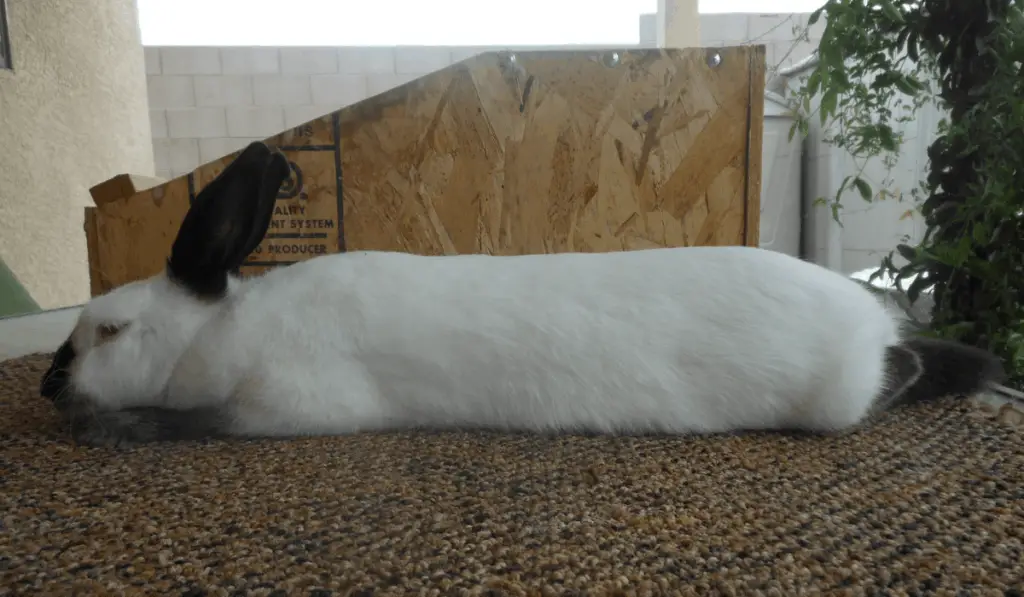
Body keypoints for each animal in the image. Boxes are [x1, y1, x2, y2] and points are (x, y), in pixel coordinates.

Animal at [41, 141, 1007, 448]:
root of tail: (870, 322)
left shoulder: (286, 404)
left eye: (110, 330)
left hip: (832, 394)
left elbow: (198, 424)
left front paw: (113, 428)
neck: (223, 334)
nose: (48, 386)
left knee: (892, 378)